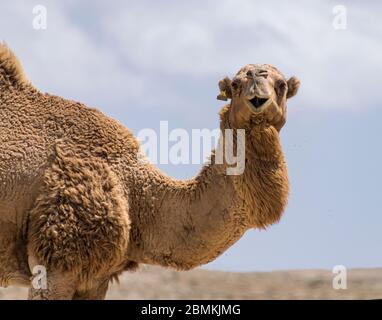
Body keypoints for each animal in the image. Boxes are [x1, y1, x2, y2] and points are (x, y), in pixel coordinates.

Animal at [0, 43, 300, 298]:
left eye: (282, 85)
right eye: (236, 84)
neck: (135, 193)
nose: (257, 84)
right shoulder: (56, 259)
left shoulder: (96, 278)